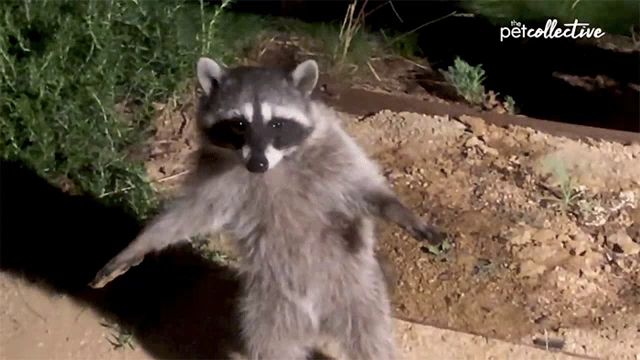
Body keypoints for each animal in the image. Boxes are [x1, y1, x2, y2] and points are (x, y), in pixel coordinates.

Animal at [90, 57, 444, 358]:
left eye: (277, 124)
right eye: (238, 124)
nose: (257, 164)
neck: (274, 166)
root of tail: (315, 322)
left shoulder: (332, 146)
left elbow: (362, 186)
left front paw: (399, 210)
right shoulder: (216, 176)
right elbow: (188, 214)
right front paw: (138, 245)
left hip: (358, 293)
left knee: (371, 340)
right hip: (268, 308)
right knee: (271, 346)